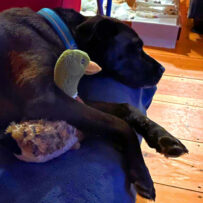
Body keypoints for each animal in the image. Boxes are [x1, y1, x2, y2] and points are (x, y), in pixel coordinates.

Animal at [0, 7, 187, 200]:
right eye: (136, 47)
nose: (163, 69)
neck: (59, 31)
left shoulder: (71, 97)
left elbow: (125, 107)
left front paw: (163, 137)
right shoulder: (45, 99)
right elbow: (120, 124)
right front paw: (141, 171)